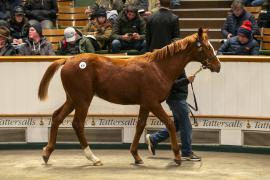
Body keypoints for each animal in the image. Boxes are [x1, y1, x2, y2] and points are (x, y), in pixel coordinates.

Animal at [38, 28, 219, 166]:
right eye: (207, 47)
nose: (218, 66)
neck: (159, 68)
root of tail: (68, 60)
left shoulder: (145, 104)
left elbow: (140, 126)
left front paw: (136, 156)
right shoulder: (153, 103)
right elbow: (169, 123)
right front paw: (177, 157)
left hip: (72, 99)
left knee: (57, 117)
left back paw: (47, 153)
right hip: (82, 100)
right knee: (77, 124)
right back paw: (93, 158)